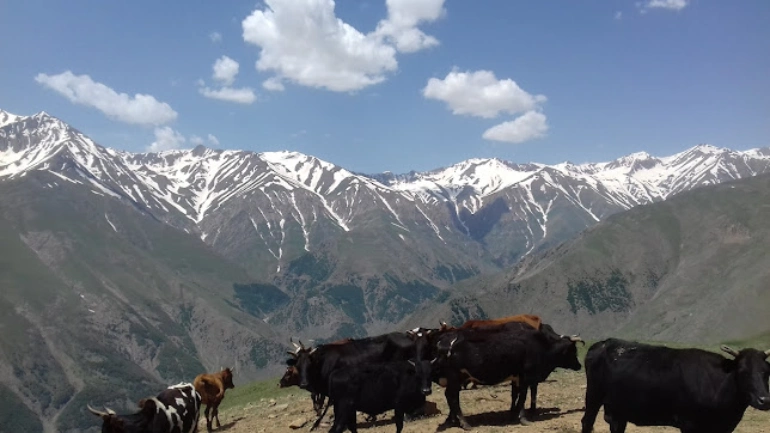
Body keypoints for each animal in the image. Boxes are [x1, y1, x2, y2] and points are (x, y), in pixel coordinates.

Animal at [436, 326, 580, 426]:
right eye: (573, 350)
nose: (579, 366)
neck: (541, 346)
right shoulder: (526, 377)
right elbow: (522, 397)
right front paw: (523, 418)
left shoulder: (517, 378)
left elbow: (515, 395)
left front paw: (513, 414)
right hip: (455, 377)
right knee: (452, 397)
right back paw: (464, 423)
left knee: (452, 397)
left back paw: (454, 420)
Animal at [584, 338, 768, 432]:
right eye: (743, 371)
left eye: (768, 371)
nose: (764, 400)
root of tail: (603, 343)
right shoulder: (689, 424)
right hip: (593, 395)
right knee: (587, 422)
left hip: (618, 409)